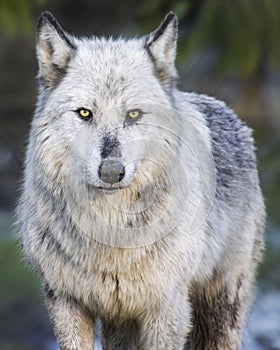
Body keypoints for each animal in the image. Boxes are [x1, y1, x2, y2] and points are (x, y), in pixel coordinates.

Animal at [16, 10, 266, 350]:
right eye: (84, 113)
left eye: (133, 115)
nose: (111, 171)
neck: (110, 232)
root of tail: (231, 114)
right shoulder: (66, 301)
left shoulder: (167, 307)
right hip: (119, 325)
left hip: (219, 311)